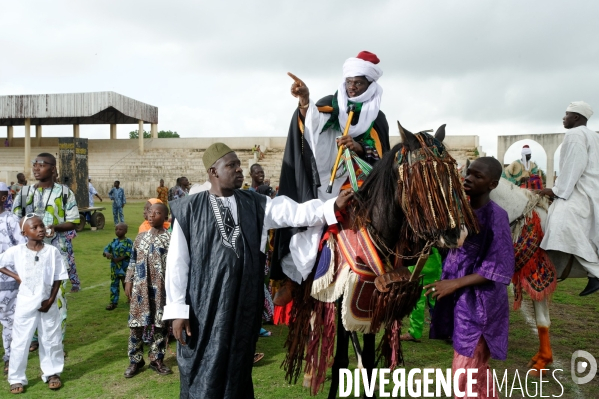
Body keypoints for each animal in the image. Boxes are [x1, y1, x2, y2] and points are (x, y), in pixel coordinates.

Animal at [284, 123, 480, 398]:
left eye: (451, 175)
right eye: (421, 177)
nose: (457, 234)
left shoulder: (371, 303)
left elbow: (367, 359)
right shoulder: (345, 297)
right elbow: (339, 361)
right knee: (313, 320)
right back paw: (309, 374)